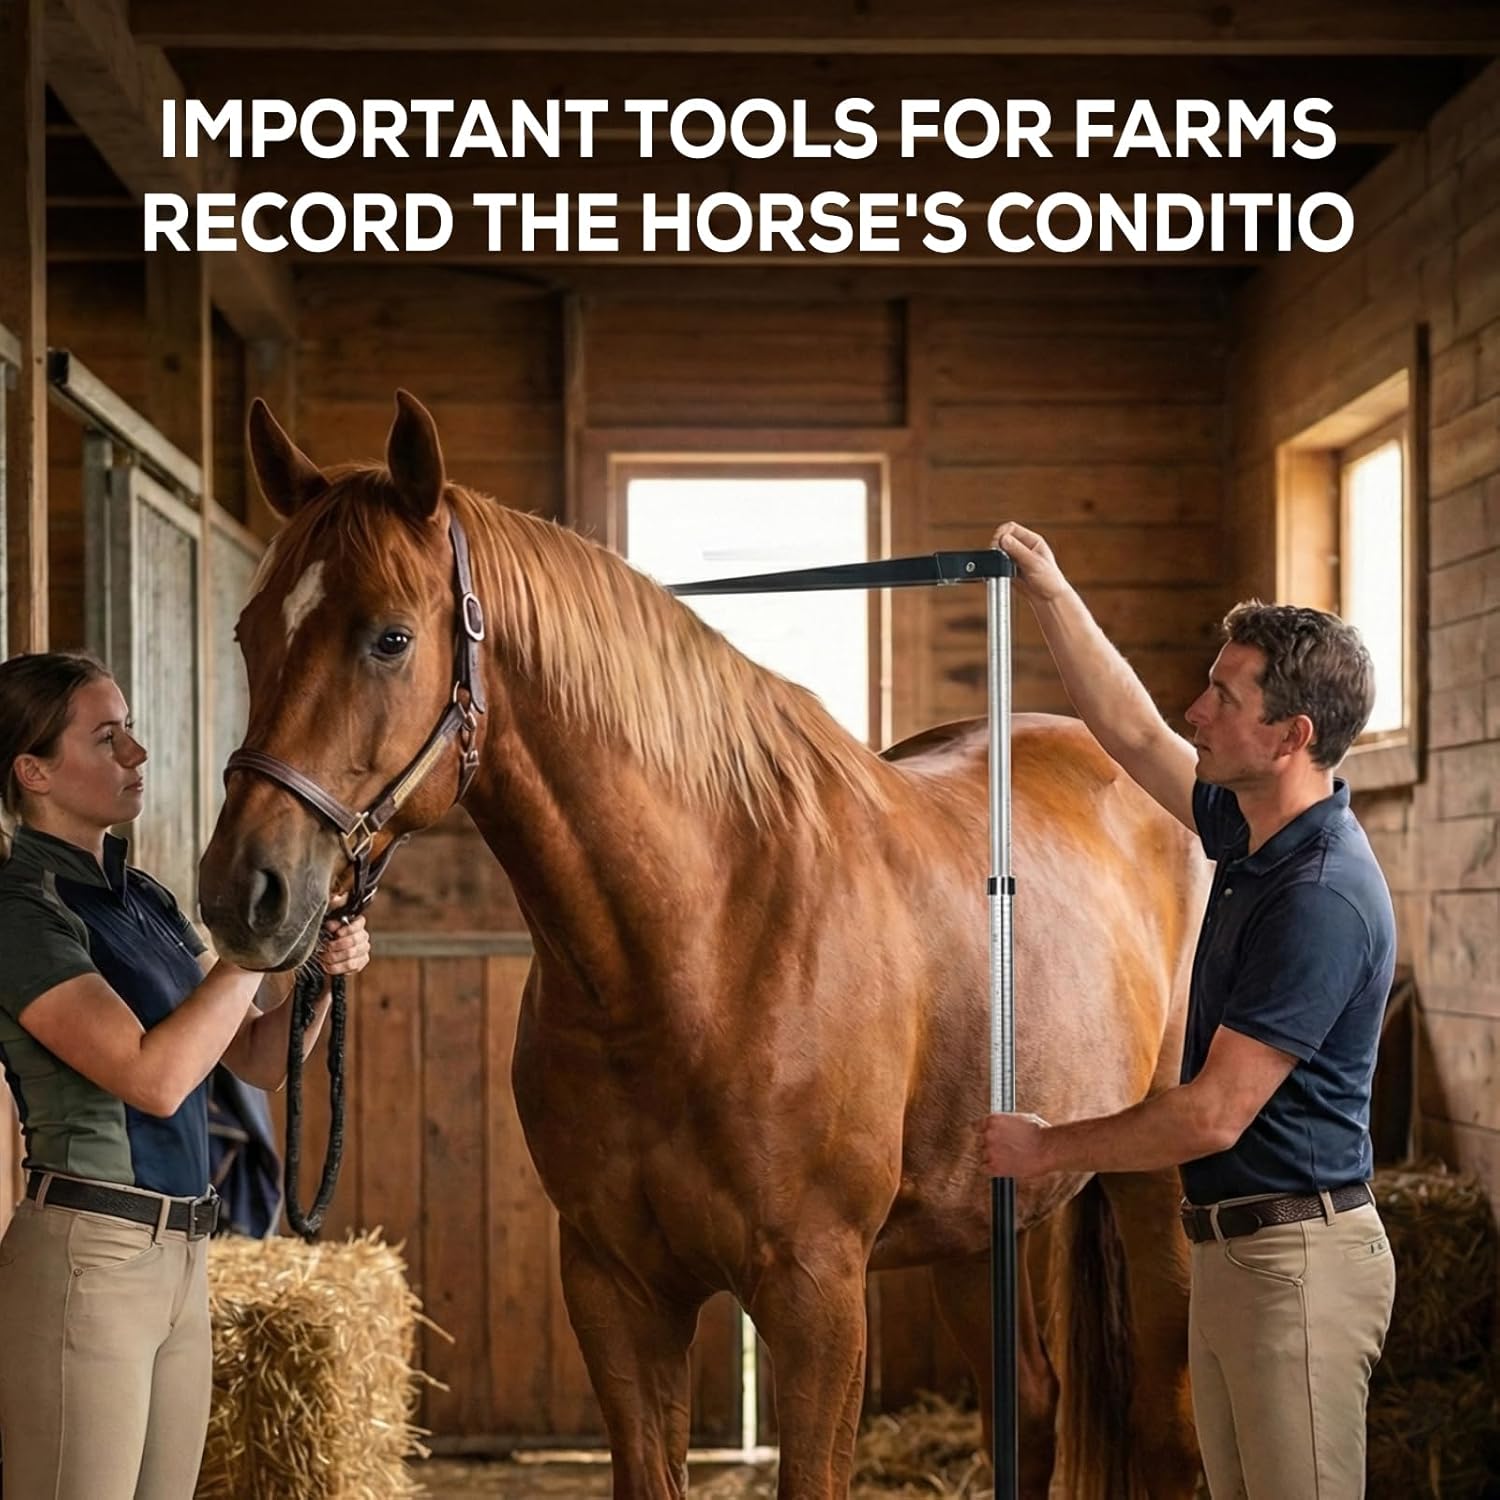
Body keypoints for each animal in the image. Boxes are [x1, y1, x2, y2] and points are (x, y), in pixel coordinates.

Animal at [199, 391, 1209, 1500]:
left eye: (389, 638)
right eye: (249, 631)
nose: (243, 891)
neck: (700, 952)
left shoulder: (817, 1297)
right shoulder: (615, 1288)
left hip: (1155, 1193)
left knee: (1165, 1427)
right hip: (970, 1224)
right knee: (1024, 1404)